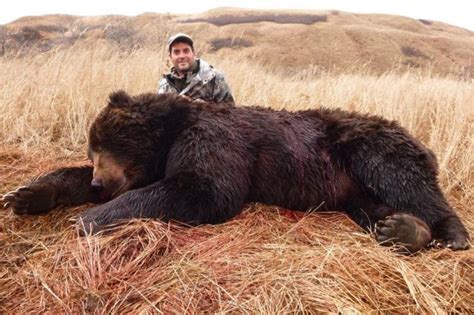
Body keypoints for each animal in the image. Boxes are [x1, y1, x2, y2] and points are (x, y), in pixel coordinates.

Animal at [2, 90, 470, 253]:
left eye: (108, 146)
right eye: (92, 149)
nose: (101, 182)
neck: (172, 129)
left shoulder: (212, 140)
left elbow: (205, 189)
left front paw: (88, 219)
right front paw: (25, 195)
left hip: (365, 146)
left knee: (404, 180)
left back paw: (450, 233)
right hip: (350, 190)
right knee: (374, 206)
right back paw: (404, 229)